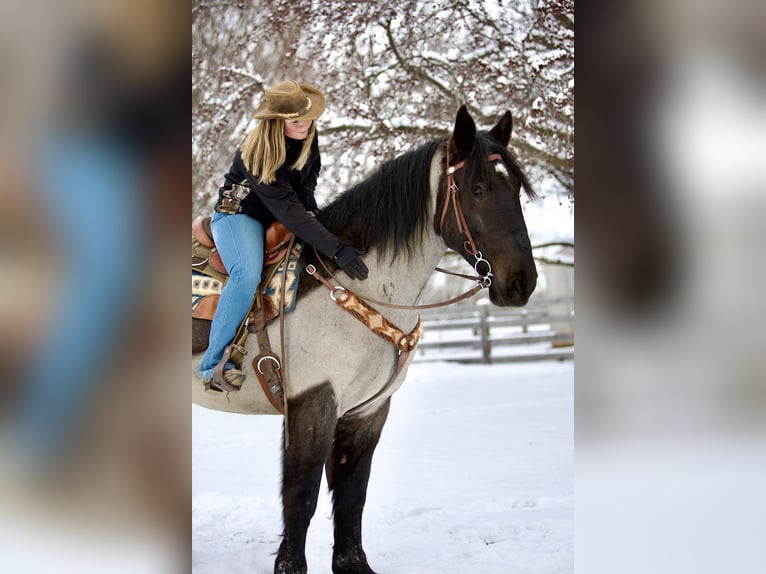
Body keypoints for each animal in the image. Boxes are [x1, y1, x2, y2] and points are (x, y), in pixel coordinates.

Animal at [192, 104, 540, 574]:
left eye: (517, 187)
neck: (357, 285)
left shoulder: (368, 411)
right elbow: (301, 494)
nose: (522, 283)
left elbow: (352, 493)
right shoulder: (313, 403)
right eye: (479, 189)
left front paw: (352, 563)